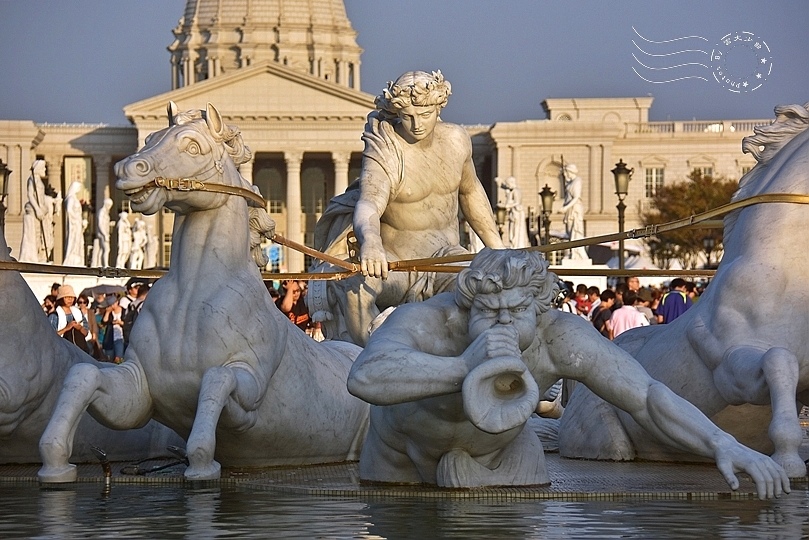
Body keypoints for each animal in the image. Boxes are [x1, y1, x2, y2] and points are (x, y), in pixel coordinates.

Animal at [37, 102, 366, 480]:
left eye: (194, 147)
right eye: (149, 138)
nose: (127, 168)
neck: (191, 295)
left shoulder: (249, 394)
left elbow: (215, 380)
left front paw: (201, 465)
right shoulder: (137, 395)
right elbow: (84, 374)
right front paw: (55, 462)